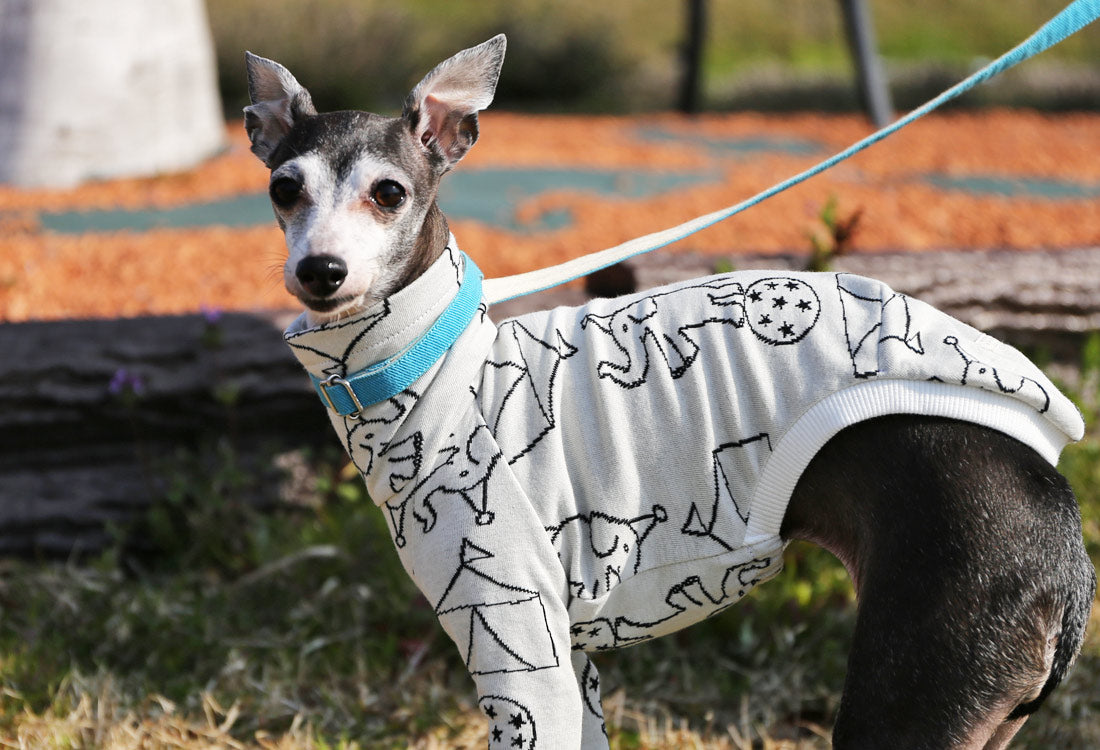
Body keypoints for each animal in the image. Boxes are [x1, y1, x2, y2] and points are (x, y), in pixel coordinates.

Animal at [245, 36, 1095, 747]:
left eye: (389, 194)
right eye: (284, 189)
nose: (321, 272)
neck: (430, 361)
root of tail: (1058, 515)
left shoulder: (520, 649)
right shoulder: (568, 665)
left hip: (907, 693)